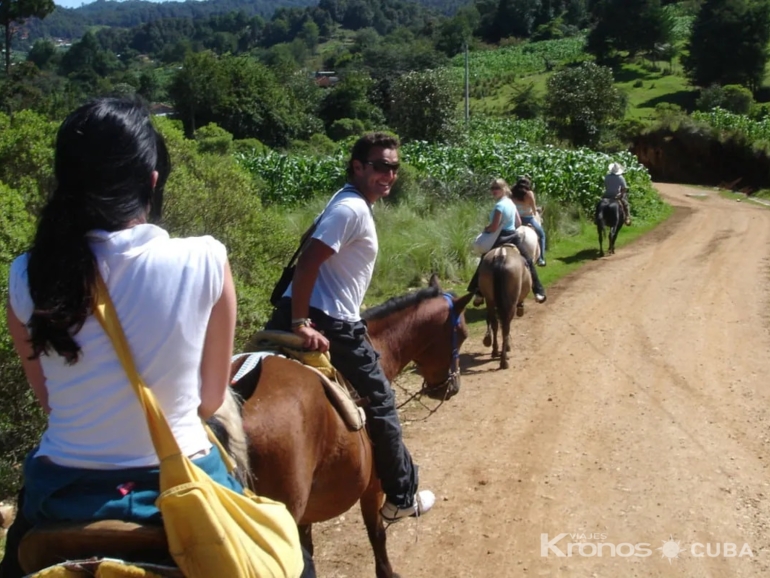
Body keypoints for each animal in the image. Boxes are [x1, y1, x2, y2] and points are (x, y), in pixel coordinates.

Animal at [230, 276, 468, 576]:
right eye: (462, 333)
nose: (452, 387)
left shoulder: (305, 515)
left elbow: (309, 549)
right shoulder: (373, 487)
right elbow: (377, 533)